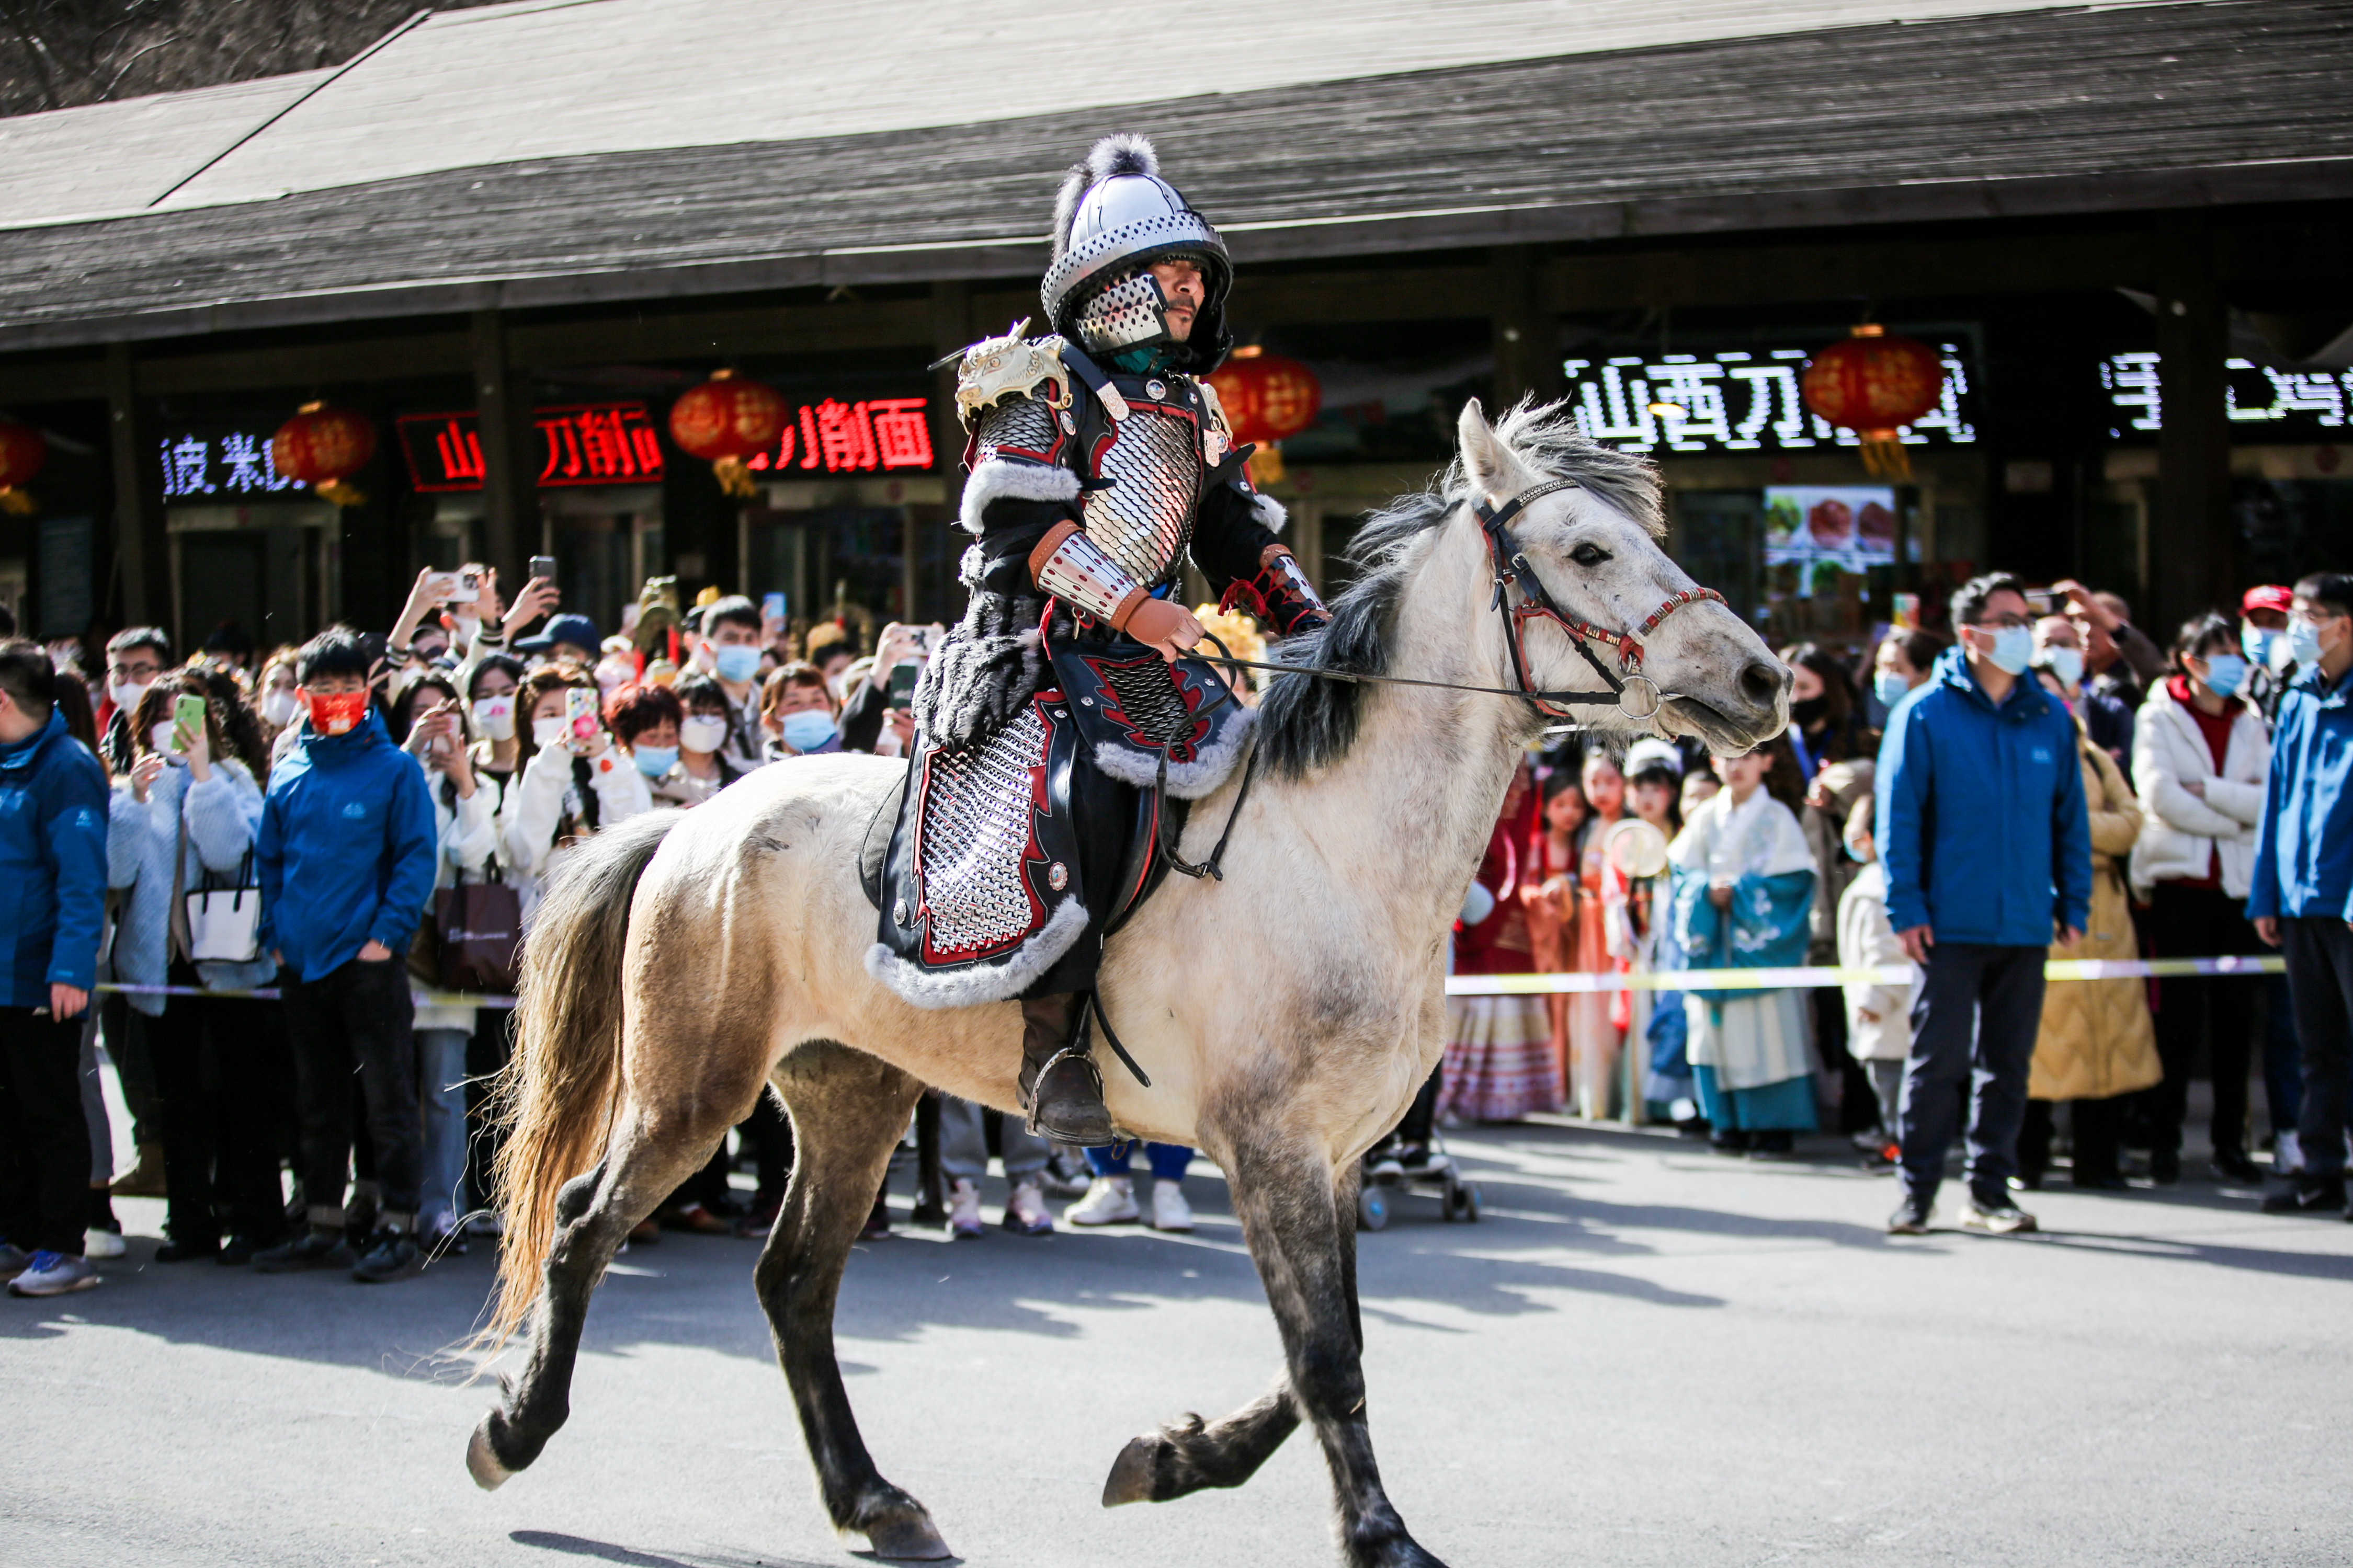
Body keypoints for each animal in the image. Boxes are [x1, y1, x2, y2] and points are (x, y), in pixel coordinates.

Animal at [468, 402, 1788, 1568]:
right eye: (1586, 549)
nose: (1761, 679)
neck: (1341, 849)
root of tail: (693, 824)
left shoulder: (1334, 1151)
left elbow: (1332, 1344)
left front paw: (1171, 1456)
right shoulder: (1267, 1145)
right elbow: (1327, 1357)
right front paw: (1376, 1531)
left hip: (850, 1090)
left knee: (793, 1281)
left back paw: (875, 1500)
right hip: (693, 1087)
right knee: (584, 1224)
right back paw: (513, 1431)